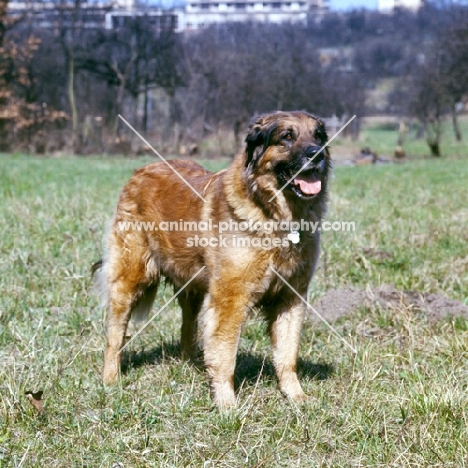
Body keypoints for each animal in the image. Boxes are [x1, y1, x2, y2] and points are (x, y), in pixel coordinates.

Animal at [94, 111, 330, 408]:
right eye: (287, 137)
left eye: (318, 137)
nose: (317, 154)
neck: (272, 212)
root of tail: (140, 172)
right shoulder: (230, 299)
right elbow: (225, 355)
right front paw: (227, 404)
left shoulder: (291, 298)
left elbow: (287, 355)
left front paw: (296, 396)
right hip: (130, 279)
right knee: (115, 333)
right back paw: (110, 379)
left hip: (193, 286)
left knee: (187, 327)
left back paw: (190, 365)